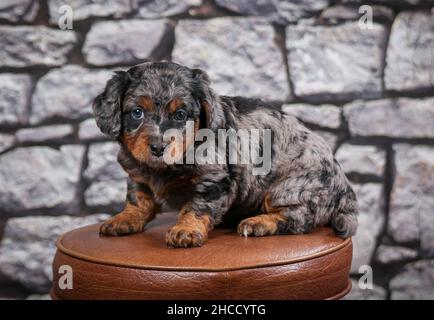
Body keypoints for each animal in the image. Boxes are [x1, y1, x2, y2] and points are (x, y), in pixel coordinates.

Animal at [93, 62, 358, 248]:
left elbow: (196, 206)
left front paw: (185, 230)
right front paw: (125, 218)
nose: (158, 148)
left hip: (288, 189)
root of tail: (345, 188)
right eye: (137, 112)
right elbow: (138, 199)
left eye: (180, 115)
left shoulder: (215, 179)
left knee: (296, 218)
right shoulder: (136, 173)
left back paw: (257, 222)